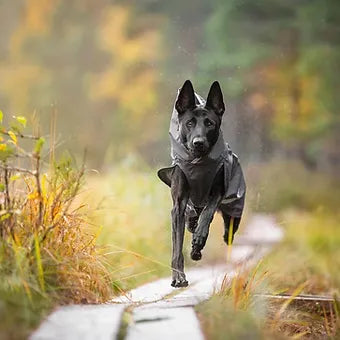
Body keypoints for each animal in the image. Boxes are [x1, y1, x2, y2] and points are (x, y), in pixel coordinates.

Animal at [158, 80, 246, 286]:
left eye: (210, 123)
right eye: (189, 123)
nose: (198, 142)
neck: (198, 163)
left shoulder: (218, 191)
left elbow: (208, 214)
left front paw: (199, 238)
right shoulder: (179, 205)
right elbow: (177, 246)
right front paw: (178, 277)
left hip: (233, 213)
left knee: (225, 229)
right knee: (191, 220)